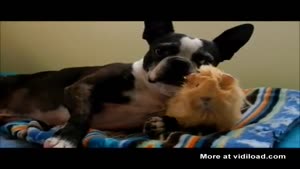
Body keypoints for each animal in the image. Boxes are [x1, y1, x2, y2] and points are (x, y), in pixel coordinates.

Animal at [0, 20, 253, 148]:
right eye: (161, 51)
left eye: (204, 62)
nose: (179, 63)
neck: (152, 91)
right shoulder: (80, 88)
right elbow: (82, 115)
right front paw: (66, 139)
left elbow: (189, 122)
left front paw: (160, 124)